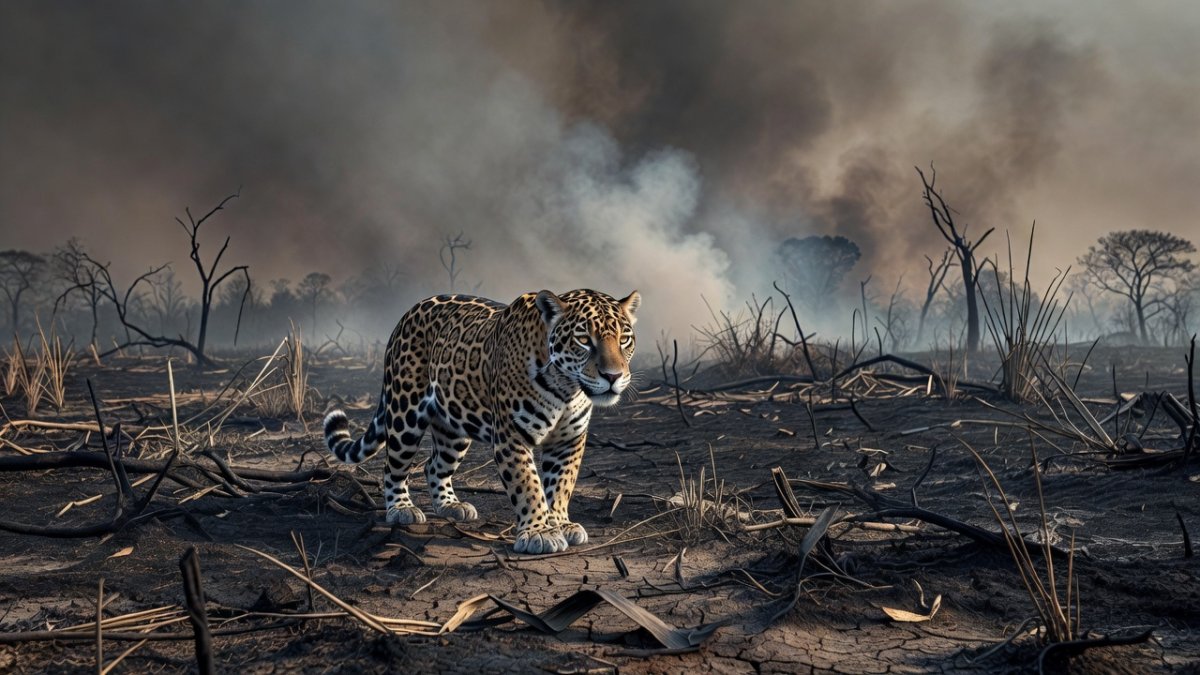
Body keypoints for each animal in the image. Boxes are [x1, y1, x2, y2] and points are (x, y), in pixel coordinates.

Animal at [323, 289, 639, 554]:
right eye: (583, 340)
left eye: (624, 339)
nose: (613, 376)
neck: (567, 388)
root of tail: (408, 312)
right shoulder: (511, 436)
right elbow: (529, 485)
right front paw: (539, 532)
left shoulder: (568, 441)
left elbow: (561, 485)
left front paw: (560, 523)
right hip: (405, 413)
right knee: (394, 466)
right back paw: (401, 509)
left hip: (453, 428)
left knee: (433, 465)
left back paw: (451, 506)